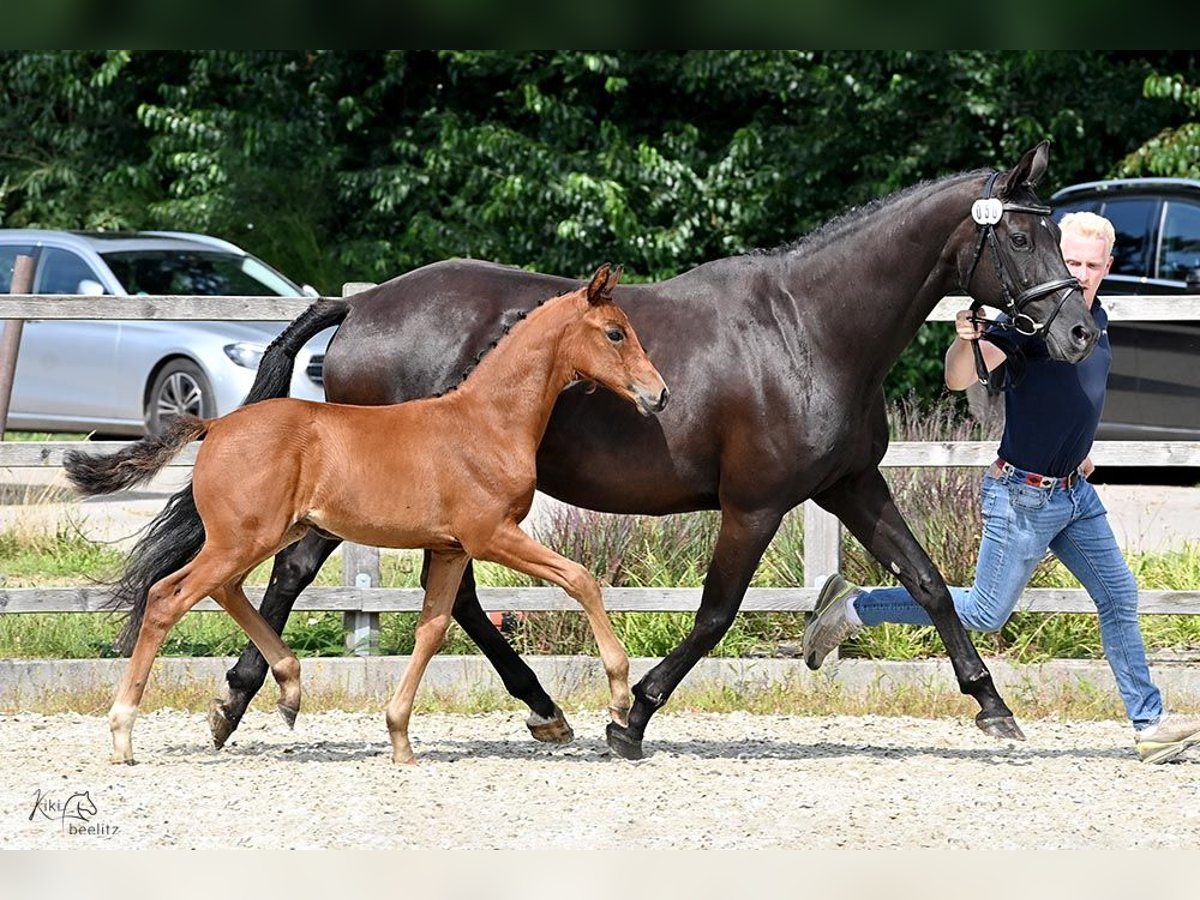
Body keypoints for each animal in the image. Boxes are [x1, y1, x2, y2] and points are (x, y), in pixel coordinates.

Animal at [65, 264, 672, 763]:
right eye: (615, 332)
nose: (660, 394)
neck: (487, 421)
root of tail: (213, 425)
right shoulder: (492, 534)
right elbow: (581, 579)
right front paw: (619, 698)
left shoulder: (452, 549)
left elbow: (432, 629)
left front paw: (400, 737)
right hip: (242, 539)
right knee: (169, 597)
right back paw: (123, 735)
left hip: (259, 536)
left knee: (227, 590)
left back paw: (288, 689)